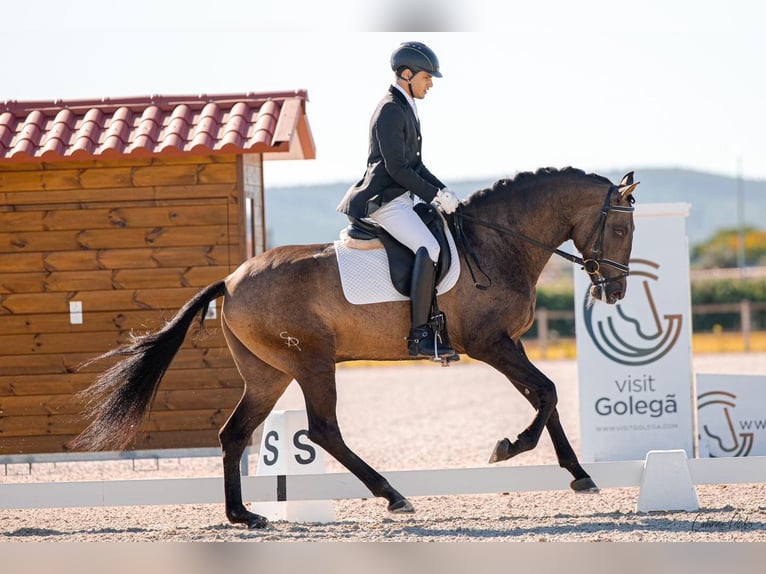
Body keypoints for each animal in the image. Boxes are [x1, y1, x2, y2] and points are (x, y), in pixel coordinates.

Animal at [72, 166, 640, 532]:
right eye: (619, 226)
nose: (614, 292)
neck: (497, 242)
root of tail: (230, 281)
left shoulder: (510, 343)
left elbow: (546, 398)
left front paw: (580, 475)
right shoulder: (491, 344)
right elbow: (546, 394)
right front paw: (507, 447)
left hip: (268, 373)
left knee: (234, 434)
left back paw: (244, 515)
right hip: (311, 363)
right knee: (323, 430)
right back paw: (393, 496)